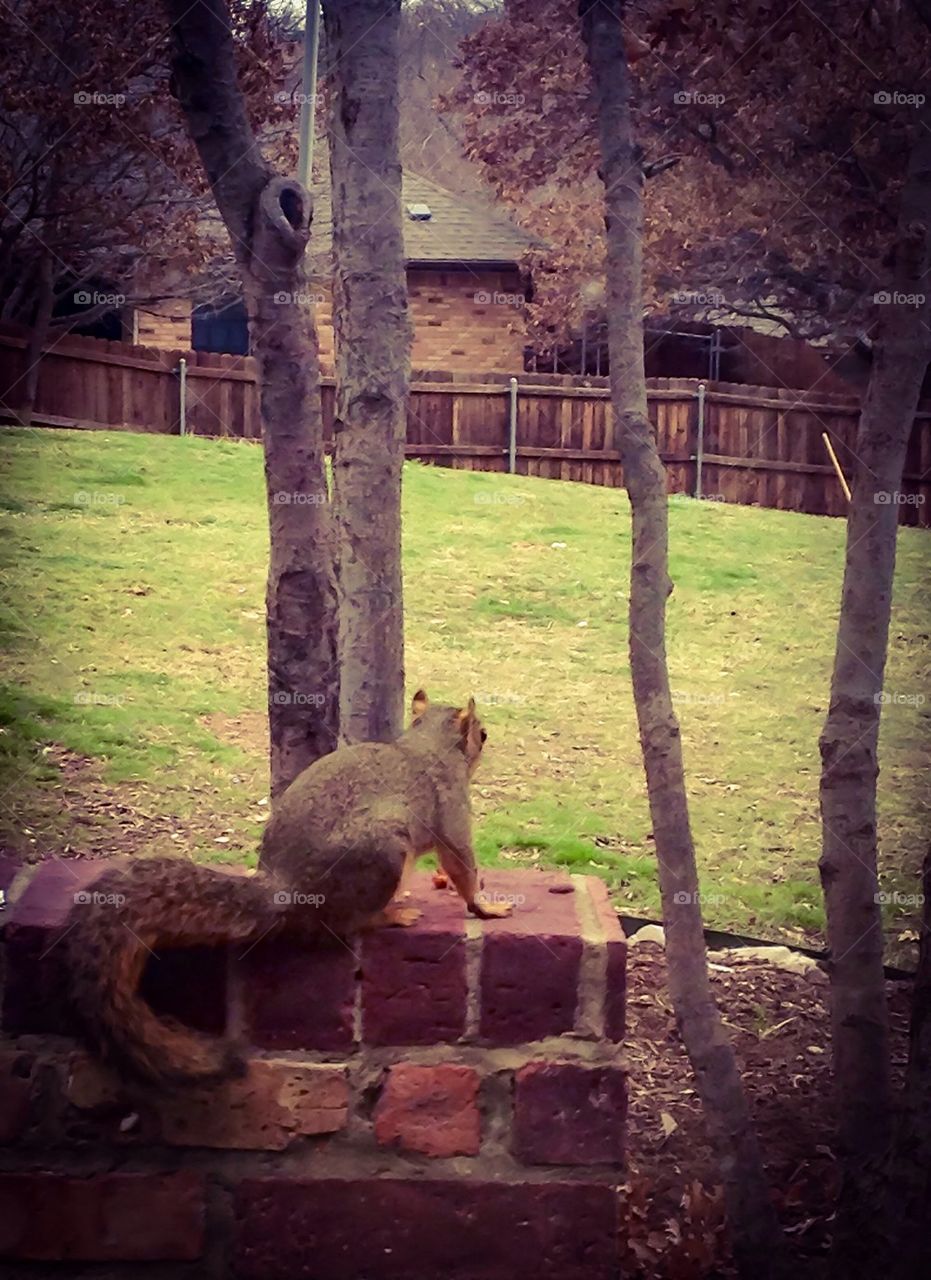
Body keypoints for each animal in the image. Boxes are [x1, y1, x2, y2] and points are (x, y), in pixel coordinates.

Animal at [65, 690, 511, 1089]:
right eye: (482, 734)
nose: (487, 739)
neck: (427, 745)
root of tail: (286, 889)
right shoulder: (452, 812)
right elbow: (461, 864)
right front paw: (486, 905)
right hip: (383, 854)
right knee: (347, 921)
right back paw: (391, 914)